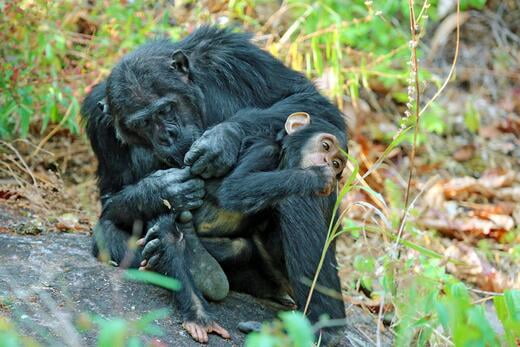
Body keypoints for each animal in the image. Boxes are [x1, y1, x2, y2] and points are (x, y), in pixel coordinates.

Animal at [140, 112, 348, 346]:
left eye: (336, 163)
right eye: (325, 146)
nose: (328, 164)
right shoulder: (264, 150)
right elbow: (234, 187)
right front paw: (316, 176)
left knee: (242, 246)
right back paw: (197, 310)